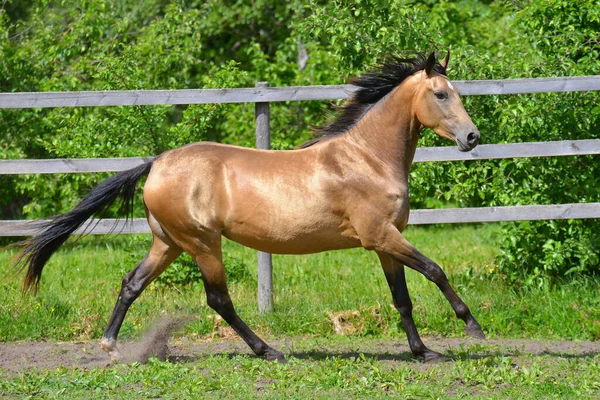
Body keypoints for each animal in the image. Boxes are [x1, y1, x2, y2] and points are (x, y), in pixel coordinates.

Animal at [14, 50, 482, 362]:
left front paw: (423, 351)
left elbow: (402, 298)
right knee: (219, 300)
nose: (472, 137)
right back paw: (267, 350)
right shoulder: (380, 235)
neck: (367, 158)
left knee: (132, 283)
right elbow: (435, 270)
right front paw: (472, 326)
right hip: (203, 243)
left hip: (168, 242)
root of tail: (156, 164)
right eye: (441, 94)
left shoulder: (385, 242)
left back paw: (111, 346)